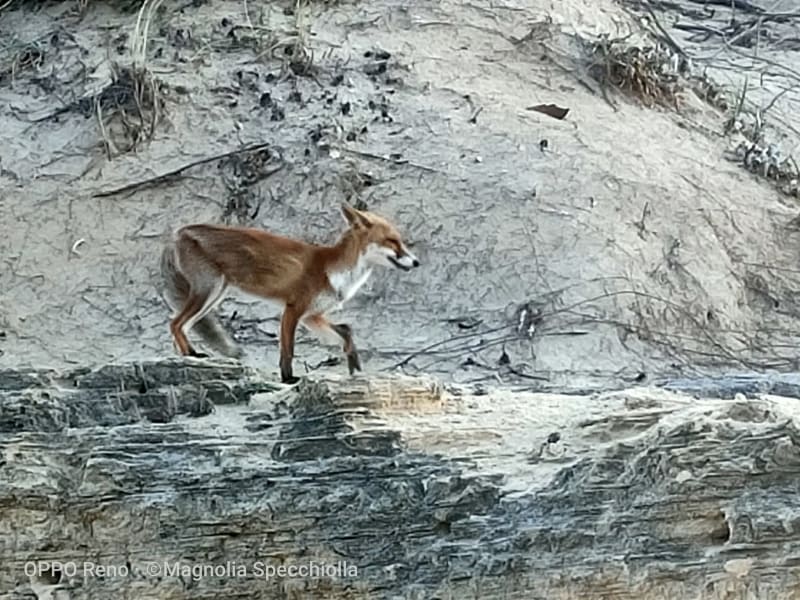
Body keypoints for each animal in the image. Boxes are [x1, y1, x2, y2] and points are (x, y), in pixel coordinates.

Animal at [160, 202, 420, 383]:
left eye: (401, 241)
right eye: (392, 241)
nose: (417, 262)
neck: (335, 270)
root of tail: (178, 232)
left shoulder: (312, 316)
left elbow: (346, 332)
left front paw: (354, 366)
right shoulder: (293, 309)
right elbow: (288, 351)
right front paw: (288, 379)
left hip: (214, 295)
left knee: (181, 326)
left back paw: (187, 355)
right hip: (208, 291)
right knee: (175, 323)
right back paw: (192, 354)